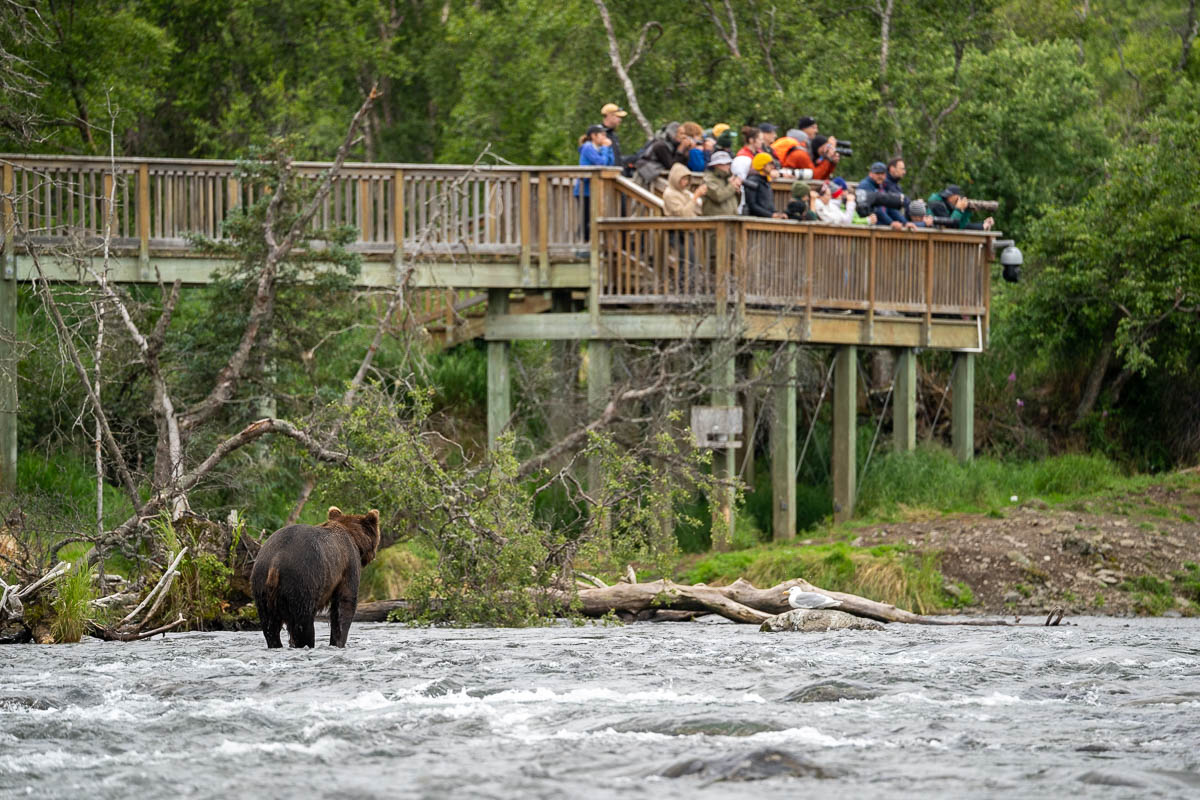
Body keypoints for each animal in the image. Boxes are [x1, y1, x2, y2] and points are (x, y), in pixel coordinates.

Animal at [252, 506, 379, 652]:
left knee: (269, 625)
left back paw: (276, 644)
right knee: (303, 622)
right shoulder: (348, 564)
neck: (355, 540)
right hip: (303, 578)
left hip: (261, 582)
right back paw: (306, 643)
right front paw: (338, 642)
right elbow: (344, 604)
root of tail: (276, 560)